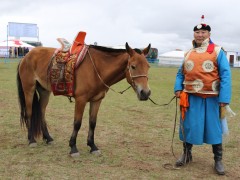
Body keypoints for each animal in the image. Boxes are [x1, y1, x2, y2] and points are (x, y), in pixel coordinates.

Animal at [16, 42, 151, 156]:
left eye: (148, 66)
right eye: (133, 66)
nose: (145, 93)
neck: (97, 68)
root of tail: (26, 56)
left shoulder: (96, 100)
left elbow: (92, 123)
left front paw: (92, 146)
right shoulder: (81, 100)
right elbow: (77, 123)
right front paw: (73, 147)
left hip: (44, 91)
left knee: (42, 112)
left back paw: (48, 138)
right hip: (29, 89)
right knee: (29, 113)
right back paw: (31, 140)